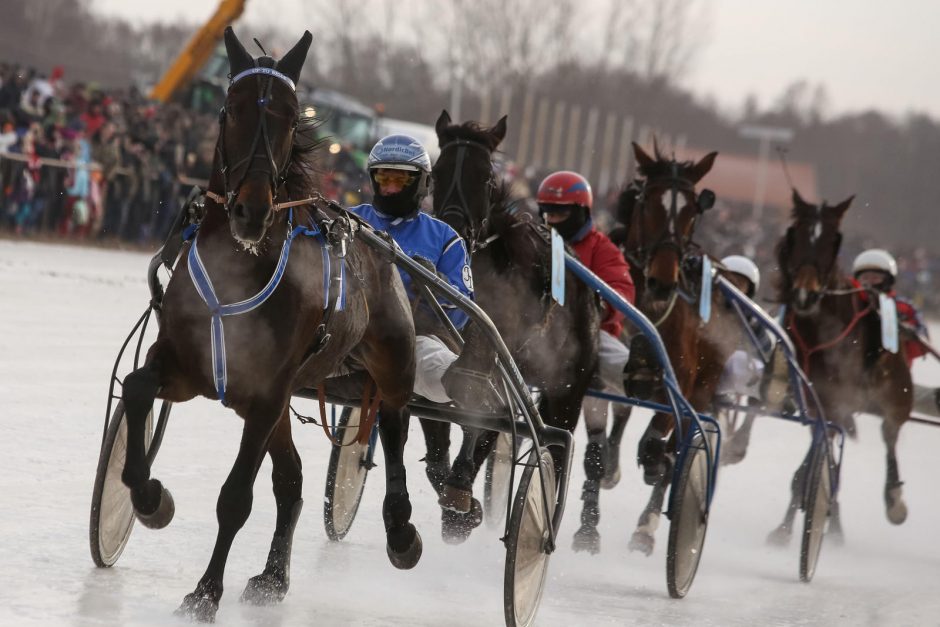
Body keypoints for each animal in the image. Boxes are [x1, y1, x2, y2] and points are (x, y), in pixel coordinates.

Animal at [119, 27, 420, 620]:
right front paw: (149, 499)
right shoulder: (190, 367)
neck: (241, 263)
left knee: (395, 421)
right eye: (231, 108)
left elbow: (235, 498)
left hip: (391, 355)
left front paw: (204, 593)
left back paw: (401, 530)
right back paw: (273, 577)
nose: (252, 210)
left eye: (288, 115)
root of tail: (379, 234)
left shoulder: (266, 392)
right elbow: (139, 387)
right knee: (294, 479)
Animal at [428, 110, 600, 544]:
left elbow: (487, 421)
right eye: (437, 171)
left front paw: (460, 498)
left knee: (553, 440)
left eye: (486, 176)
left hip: (569, 384)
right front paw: (456, 496)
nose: (454, 229)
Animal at [768, 189, 916, 544]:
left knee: (890, 435)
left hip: (897, 393)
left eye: (833, 239)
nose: (805, 295)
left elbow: (815, 467)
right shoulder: (817, 402)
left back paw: (893, 500)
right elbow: (817, 466)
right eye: (796, 234)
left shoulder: (837, 402)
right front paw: (786, 529)